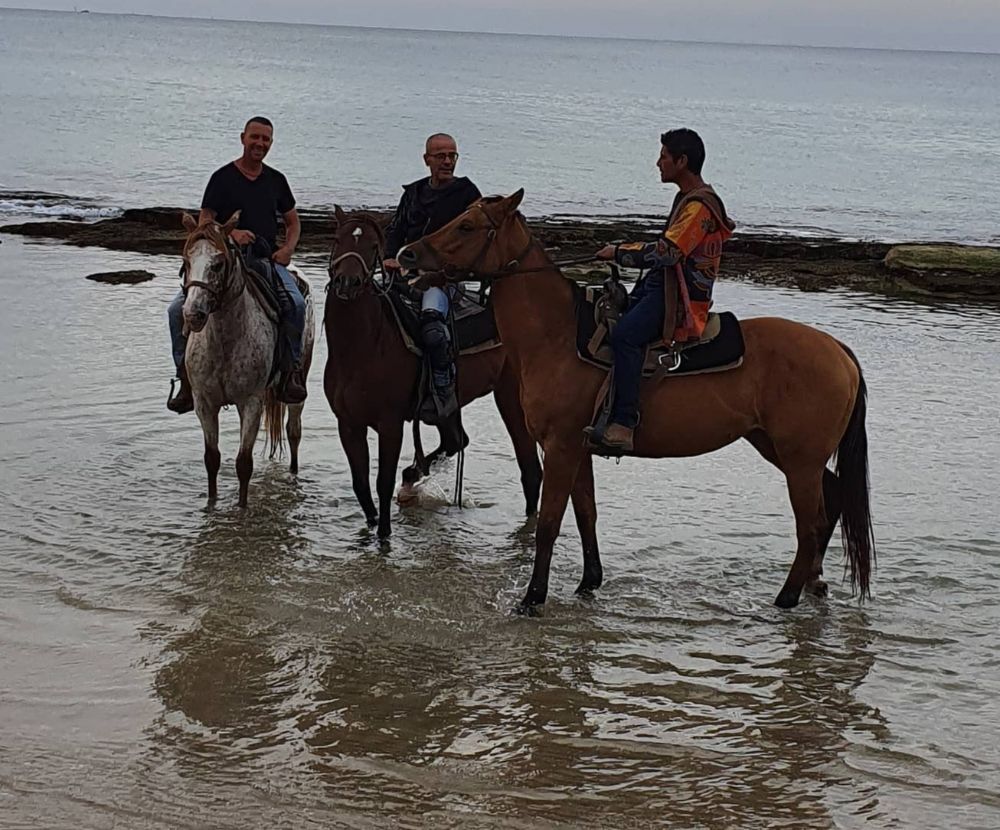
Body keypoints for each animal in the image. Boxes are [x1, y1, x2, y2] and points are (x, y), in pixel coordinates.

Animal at [182, 211, 314, 508]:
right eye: (186, 262)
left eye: (218, 264)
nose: (192, 314)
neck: (225, 341)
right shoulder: (204, 403)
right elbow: (212, 459)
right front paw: (212, 504)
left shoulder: (250, 403)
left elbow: (244, 464)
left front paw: (242, 509)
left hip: (298, 383)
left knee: (294, 431)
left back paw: (293, 476)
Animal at [324, 208, 544, 540]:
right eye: (338, 239)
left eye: (374, 245)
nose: (347, 282)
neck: (362, 347)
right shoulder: (348, 424)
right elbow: (361, 485)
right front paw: (372, 526)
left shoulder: (390, 425)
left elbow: (381, 483)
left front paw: (384, 535)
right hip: (447, 406)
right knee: (457, 440)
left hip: (510, 398)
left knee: (530, 470)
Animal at [398, 192, 876, 616]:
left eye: (466, 225)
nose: (406, 254)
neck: (556, 335)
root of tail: (838, 351)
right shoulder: (578, 450)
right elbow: (586, 515)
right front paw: (588, 583)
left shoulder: (560, 448)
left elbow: (550, 524)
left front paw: (533, 598)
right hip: (782, 451)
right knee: (831, 501)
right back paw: (813, 583)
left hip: (799, 461)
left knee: (809, 525)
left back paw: (787, 597)